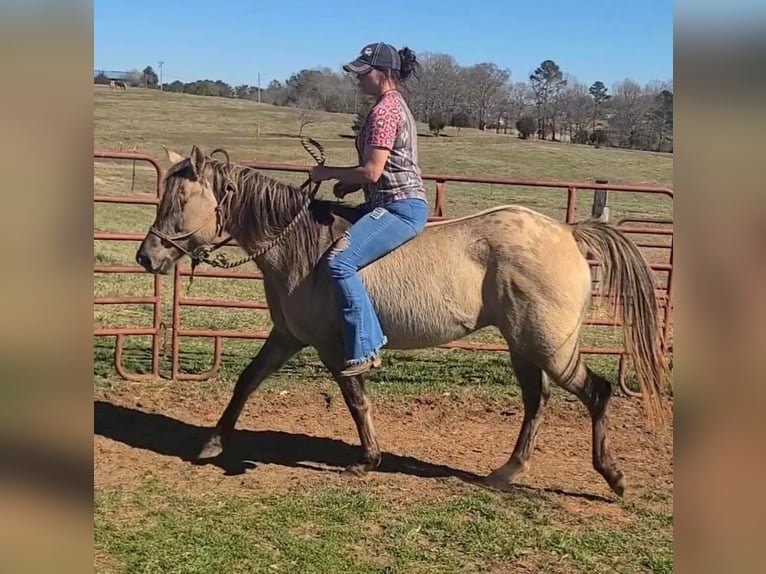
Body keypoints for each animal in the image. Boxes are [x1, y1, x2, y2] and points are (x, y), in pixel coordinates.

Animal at [135, 146, 668, 498]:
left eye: (178, 202)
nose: (146, 257)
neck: (300, 249)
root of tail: (567, 231)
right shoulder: (287, 337)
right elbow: (246, 381)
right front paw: (212, 442)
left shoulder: (334, 346)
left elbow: (356, 399)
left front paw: (367, 461)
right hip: (524, 348)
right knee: (537, 403)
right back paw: (505, 473)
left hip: (549, 348)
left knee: (596, 392)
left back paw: (613, 476)